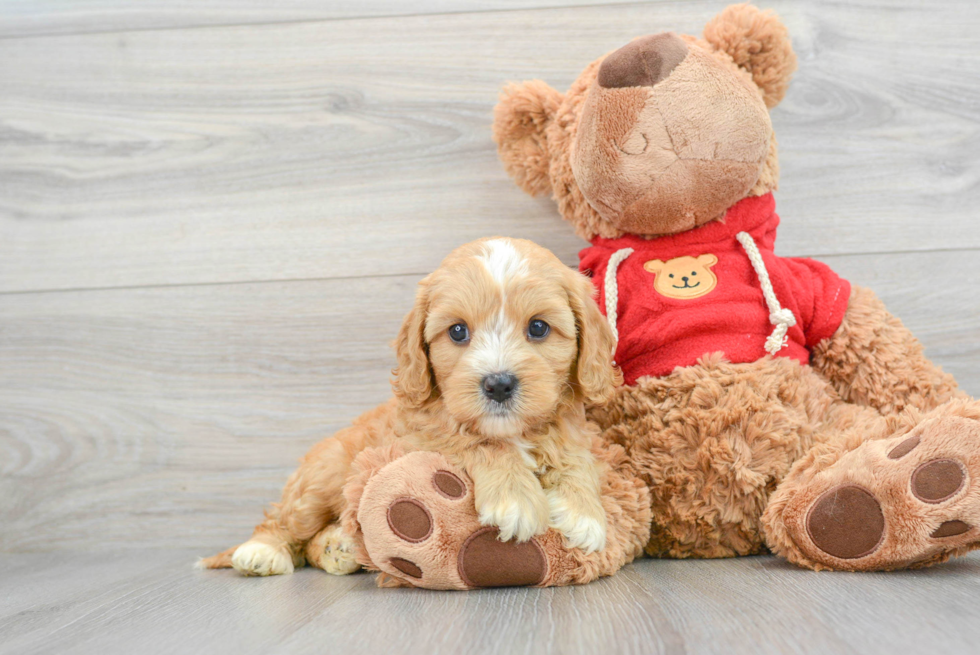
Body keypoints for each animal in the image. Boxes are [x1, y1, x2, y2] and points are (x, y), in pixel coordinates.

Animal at [201, 238, 620, 576]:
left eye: (538, 328)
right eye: (457, 331)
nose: (498, 384)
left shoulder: (569, 424)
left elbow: (574, 453)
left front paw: (583, 511)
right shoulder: (419, 436)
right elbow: (477, 440)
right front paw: (514, 498)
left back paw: (340, 546)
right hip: (323, 478)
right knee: (287, 522)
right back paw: (262, 552)